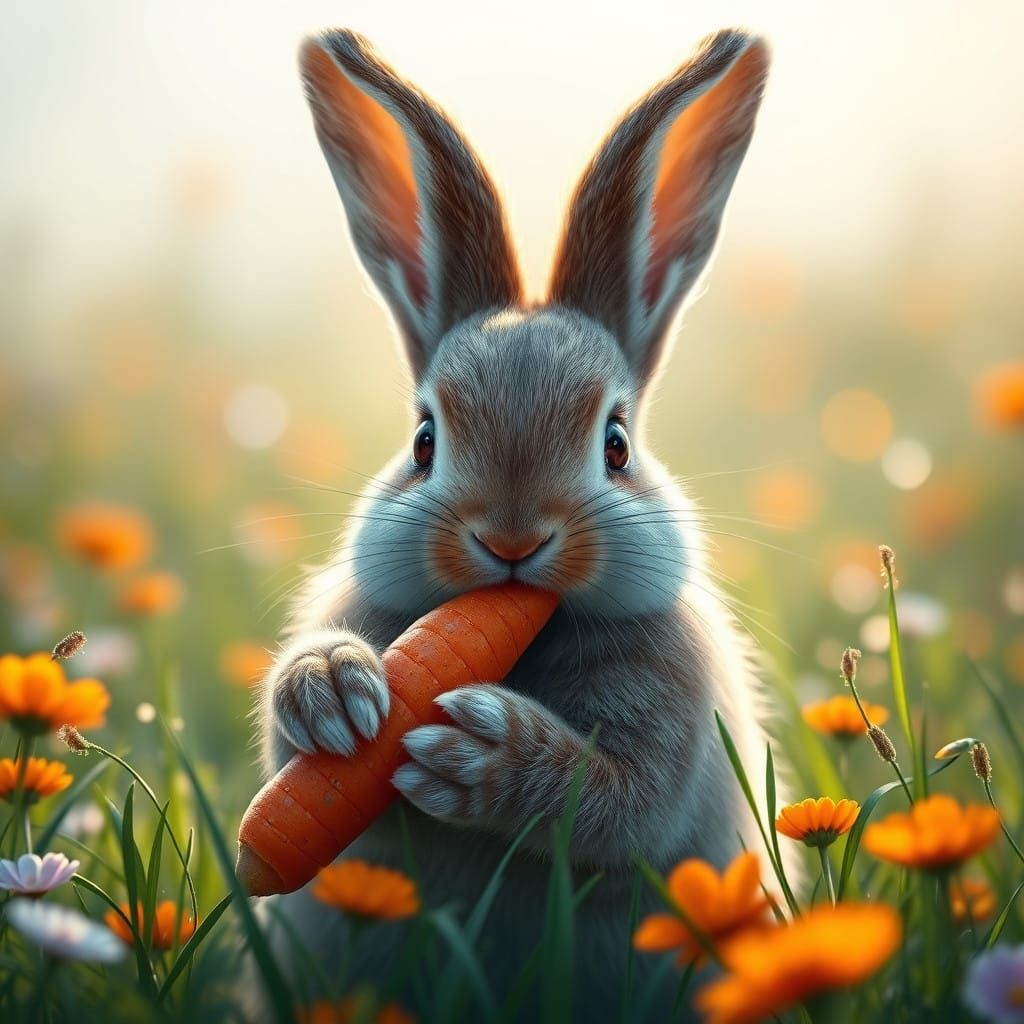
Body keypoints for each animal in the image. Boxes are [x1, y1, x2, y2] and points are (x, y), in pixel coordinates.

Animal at [254, 26, 782, 1022]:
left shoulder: (670, 733)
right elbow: (290, 751)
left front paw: (481, 754)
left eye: (616, 444)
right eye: (424, 441)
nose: (510, 540)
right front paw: (332, 693)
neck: (526, 639)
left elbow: (618, 801)